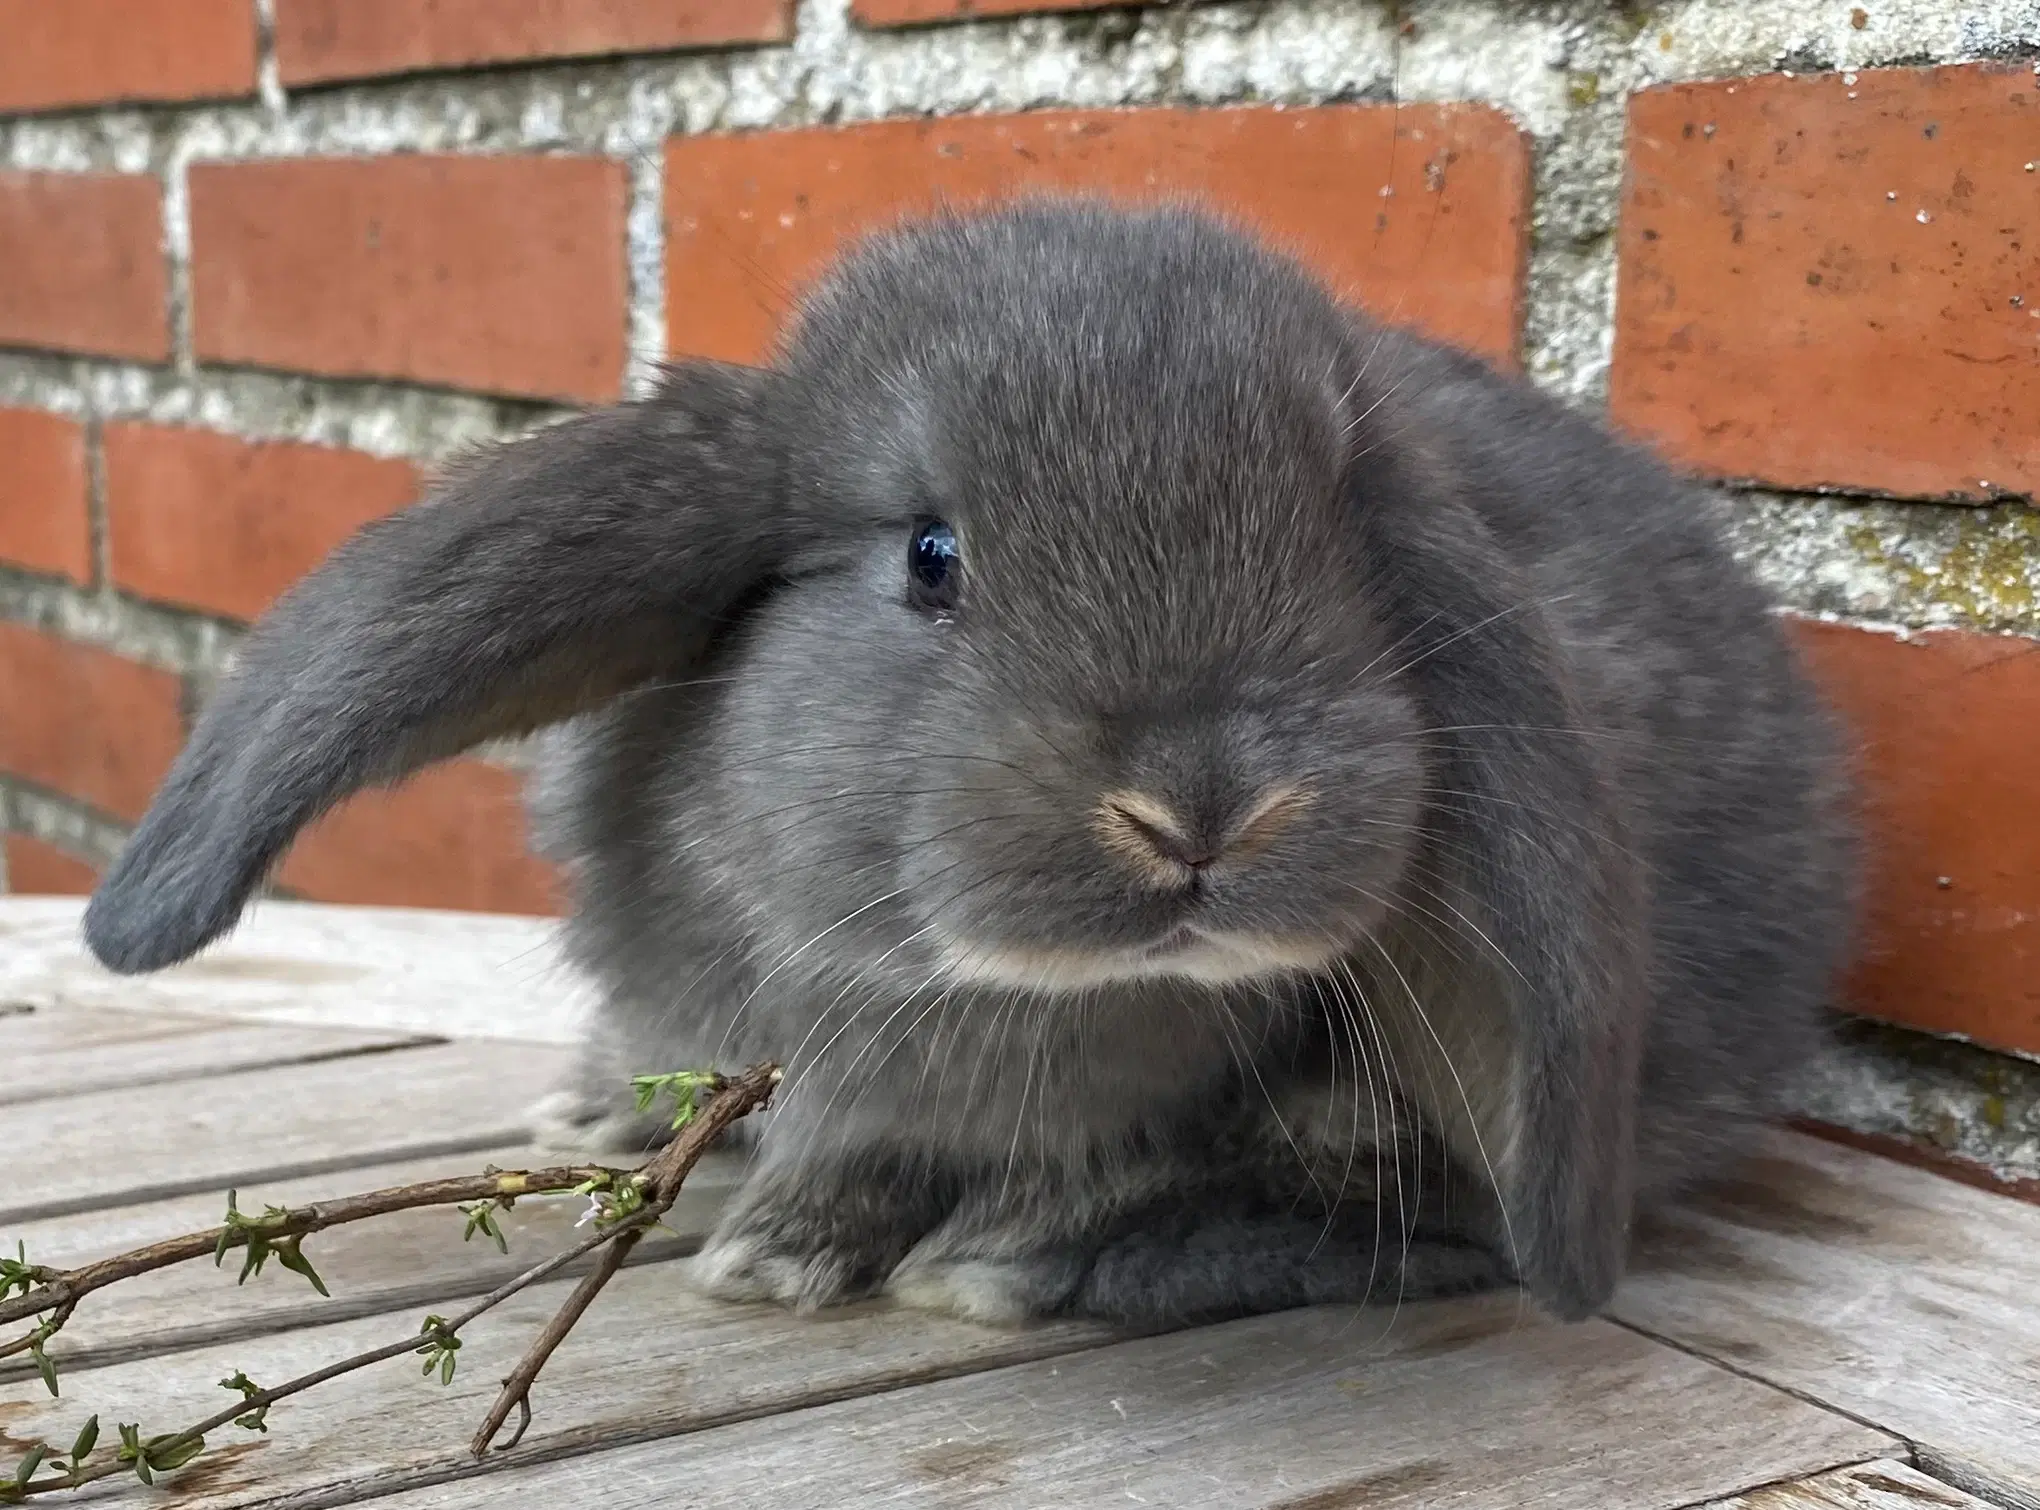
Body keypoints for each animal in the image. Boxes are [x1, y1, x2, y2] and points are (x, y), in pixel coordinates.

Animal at [83, 200, 1868, 1330]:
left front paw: (824, 1252)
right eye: (931, 555)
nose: (1202, 811)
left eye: (1352, 559)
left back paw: (1013, 1266)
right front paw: (764, 1222)